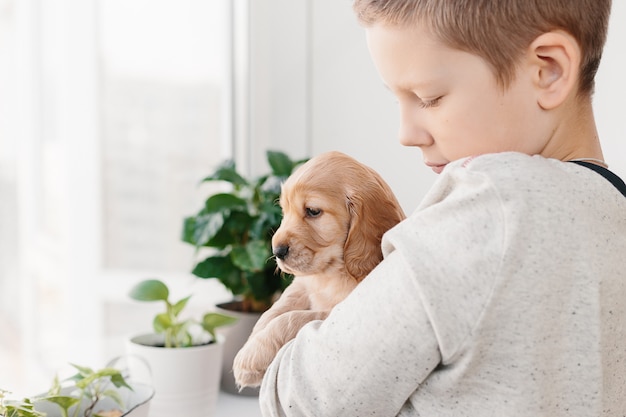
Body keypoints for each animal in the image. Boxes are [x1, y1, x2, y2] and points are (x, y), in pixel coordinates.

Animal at [232, 150, 402, 386]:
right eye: (284, 210)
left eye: (312, 211)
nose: (277, 251)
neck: (332, 271)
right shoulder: (303, 283)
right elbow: (275, 309)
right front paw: (251, 343)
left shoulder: (335, 313)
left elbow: (291, 319)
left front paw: (251, 357)